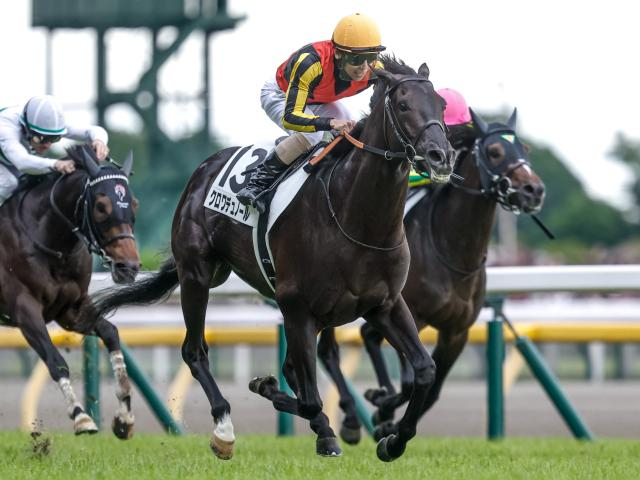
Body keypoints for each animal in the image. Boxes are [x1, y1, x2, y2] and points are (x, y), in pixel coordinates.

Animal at [0, 144, 140, 438]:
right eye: (101, 206)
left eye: (134, 203)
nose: (129, 266)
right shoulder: (23, 308)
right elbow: (55, 360)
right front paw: (81, 416)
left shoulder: (71, 310)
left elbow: (111, 333)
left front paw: (124, 415)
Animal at [88, 57, 456, 461]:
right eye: (403, 105)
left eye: (440, 105)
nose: (441, 156)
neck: (356, 217)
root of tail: (204, 169)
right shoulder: (296, 306)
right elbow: (309, 398)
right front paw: (308, 420)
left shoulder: (385, 304)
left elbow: (424, 370)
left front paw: (393, 439)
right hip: (197, 274)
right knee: (195, 351)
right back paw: (224, 429)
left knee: (292, 369)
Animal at [317, 108, 546, 443]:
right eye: (494, 151)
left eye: (525, 149)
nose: (534, 190)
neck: (451, 251)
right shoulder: (412, 315)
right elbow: (411, 380)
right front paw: (382, 411)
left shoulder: (456, 332)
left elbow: (433, 389)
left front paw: (388, 420)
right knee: (329, 350)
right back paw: (350, 418)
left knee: (366, 336)